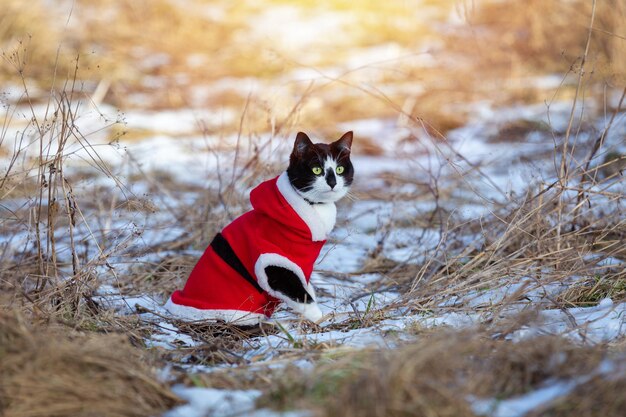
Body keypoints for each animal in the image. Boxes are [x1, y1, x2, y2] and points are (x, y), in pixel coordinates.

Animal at [163, 131, 354, 324]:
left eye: (339, 169)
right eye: (317, 170)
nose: (332, 182)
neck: (313, 206)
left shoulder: (300, 268)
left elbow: (308, 288)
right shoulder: (274, 263)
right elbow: (303, 297)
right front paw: (320, 320)